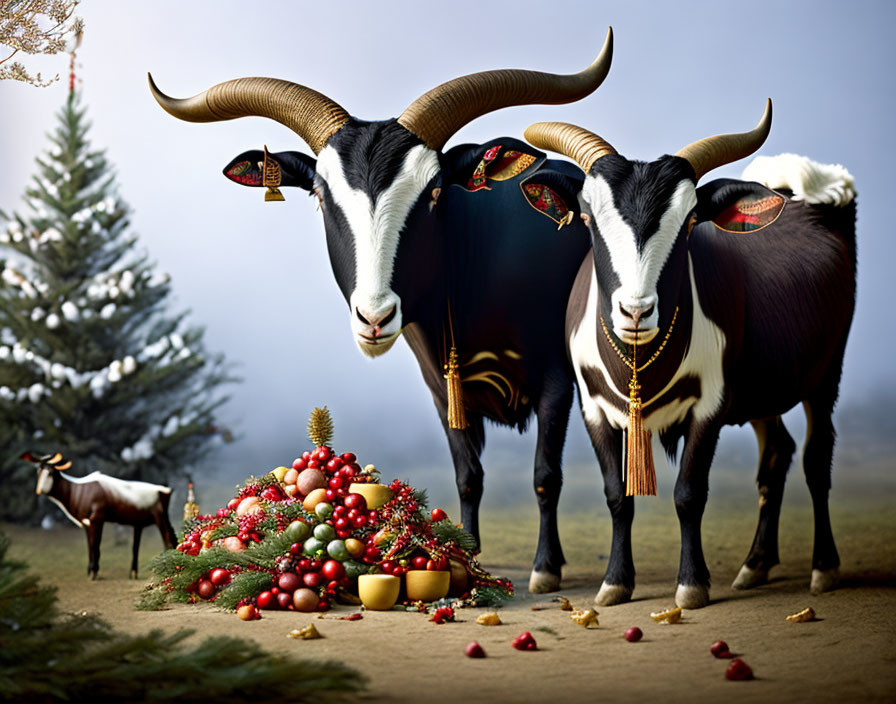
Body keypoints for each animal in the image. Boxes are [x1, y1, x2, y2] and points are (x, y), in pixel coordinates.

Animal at [24, 454, 178, 580]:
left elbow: (96, 545)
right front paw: (90, 571)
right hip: (153, 521)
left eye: (50, 473)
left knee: (167, 541)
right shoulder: (86, 523)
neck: (79, 489)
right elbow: (90, 546)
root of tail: (165, 490)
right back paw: (134, 574)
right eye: (38, 471)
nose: (39, 490)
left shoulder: (97, 520)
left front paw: (94, 573)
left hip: (159, 518)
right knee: (170, 539)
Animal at [150, 31, 612, 592]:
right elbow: (468, 476)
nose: (374, 318)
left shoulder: (556, 378)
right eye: (320, 194)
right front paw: (468, 557)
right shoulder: (443, 387)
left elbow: (546, 475)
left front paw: (544, 569)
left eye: (434, 192)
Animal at [528, 103, 856, 604]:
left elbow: (688, 493)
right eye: (586, 217)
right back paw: (755, 565)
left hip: (826, 371)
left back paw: (824, 568)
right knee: (777, 454)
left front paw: (691, 585)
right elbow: (617, 494)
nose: (636, 310)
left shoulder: (711, 406)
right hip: (760, 389)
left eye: (688, 222)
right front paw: (615, 582)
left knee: (816, 458)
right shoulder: (593, 408)